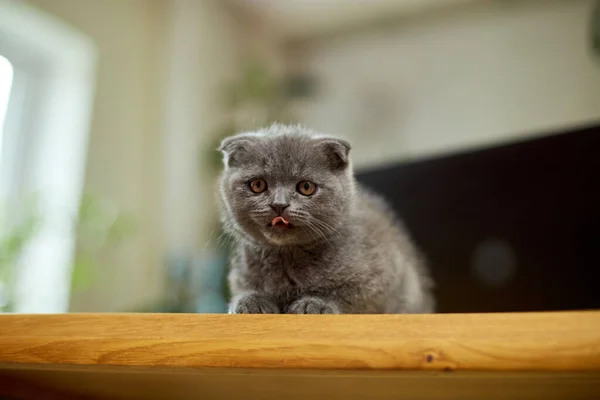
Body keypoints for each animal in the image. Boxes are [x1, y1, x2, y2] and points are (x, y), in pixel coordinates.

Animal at [218, 123, 434, 314]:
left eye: (306, 187)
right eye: (258, 185)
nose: (279, 204)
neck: (288, 255)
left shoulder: (386, 276)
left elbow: (349, 295)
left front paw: (314, 304)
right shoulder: (240, 276)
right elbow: (245, 290)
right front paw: (250, 302)